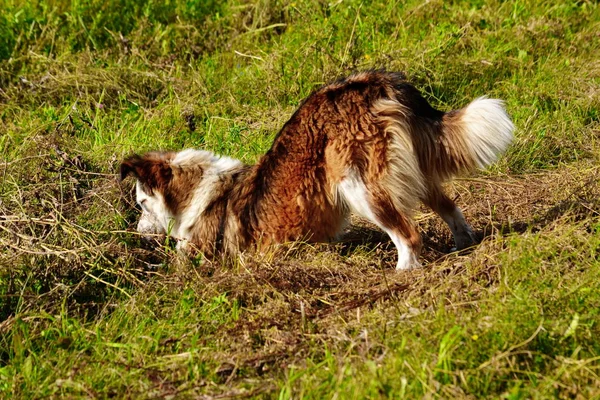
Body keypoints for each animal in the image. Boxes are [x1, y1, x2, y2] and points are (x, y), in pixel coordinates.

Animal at [119, 70, 512, 270]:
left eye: (141, 203)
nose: (137, 234)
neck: (202, 190)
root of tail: (372, 82)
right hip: (408, 169)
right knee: (449, 206)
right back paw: (463, 245)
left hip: (357, 185)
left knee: (408, 234)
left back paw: (403, 271)